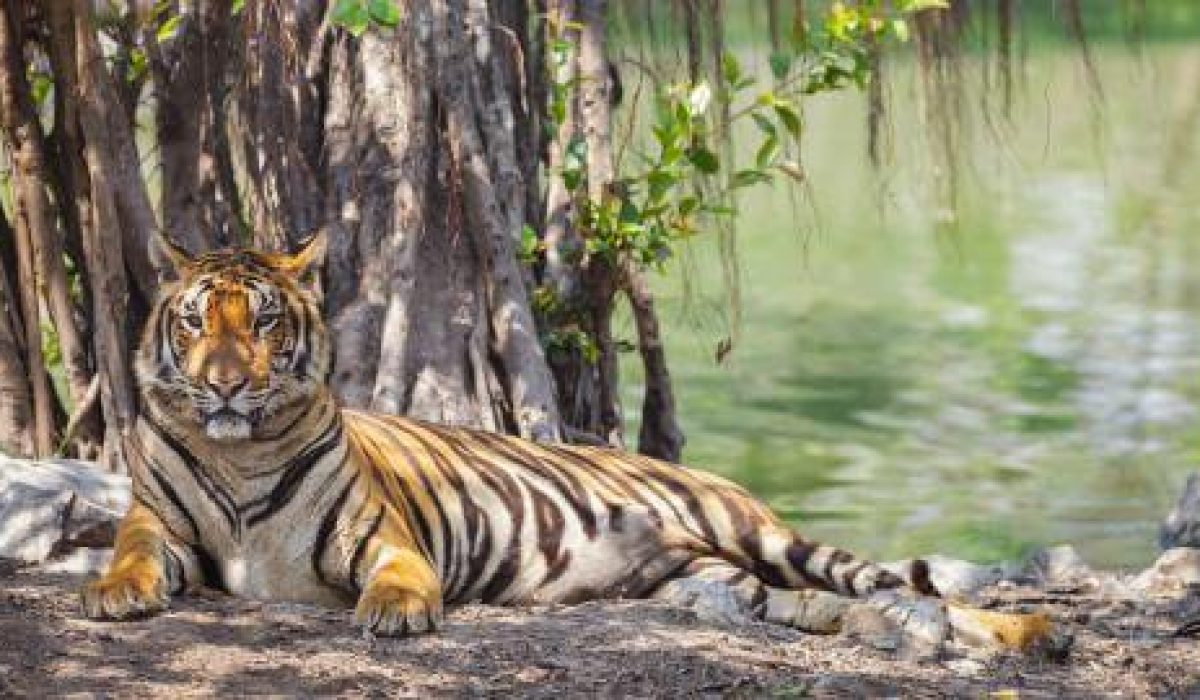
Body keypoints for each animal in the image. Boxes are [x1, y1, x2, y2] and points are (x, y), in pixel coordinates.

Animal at [79, 235, 1065, 657]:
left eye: (264, 322)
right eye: (197, 321)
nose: (224, 384)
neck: (240, 450)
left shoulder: (385, 536)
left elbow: (397, 578)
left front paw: (396, 612)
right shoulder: (157, 522)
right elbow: (130, 554)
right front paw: (113, 595)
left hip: (762, 534)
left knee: (897, 586)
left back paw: (1029, 633)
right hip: (708, 578)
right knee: (820, 605)